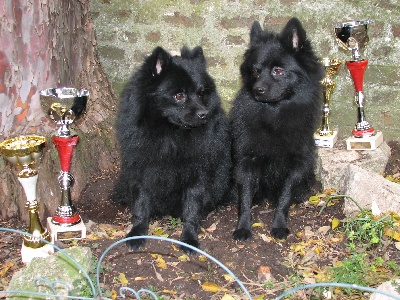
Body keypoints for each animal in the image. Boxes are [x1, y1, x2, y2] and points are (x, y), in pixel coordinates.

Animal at [112, 45, 231, 254]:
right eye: (179, 96)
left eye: (201, 93)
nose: (204, 114)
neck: (170, 135)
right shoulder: (141, 168)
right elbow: (141, 204)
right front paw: (137, 232)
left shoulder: (196, 173)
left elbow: (192, 208)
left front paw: (189, 238)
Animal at [230, 17, 324, 240]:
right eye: (255, 71)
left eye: (278, 71)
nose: (257, 90)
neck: (274, 115)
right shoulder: (247, 161)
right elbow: (245, 199)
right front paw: (243, 227)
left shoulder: (295, 165)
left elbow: (284, 197)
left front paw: (279, 225)